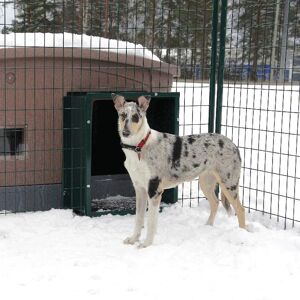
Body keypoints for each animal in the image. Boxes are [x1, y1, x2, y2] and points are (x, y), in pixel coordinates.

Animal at [112, 94, 246, 248]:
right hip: (206, 183)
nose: (125, 133)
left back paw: (243, 236)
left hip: (229, 184)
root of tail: (233, 144)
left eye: (135, 117)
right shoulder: (140, 190)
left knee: (240, 210)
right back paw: (208, 226)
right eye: (123, 115)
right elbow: (138, 219)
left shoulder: (154, 191)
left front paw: (146, 244)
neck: (138, 147)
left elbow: (151, 222)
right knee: (215, 203)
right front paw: (134, 239)